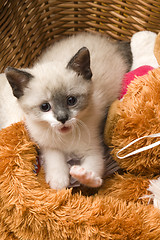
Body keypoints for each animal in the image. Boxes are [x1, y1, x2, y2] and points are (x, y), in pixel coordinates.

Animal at [5, 31, 132, 189]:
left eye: (71, 101)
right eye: (45, 107)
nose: (62, 118)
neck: (66, 139)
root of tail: (109, 42)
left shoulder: (93, 148)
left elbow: (94, 168)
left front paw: (84, 175)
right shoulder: (47, 145)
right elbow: (55, 159)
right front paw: (58, 180)